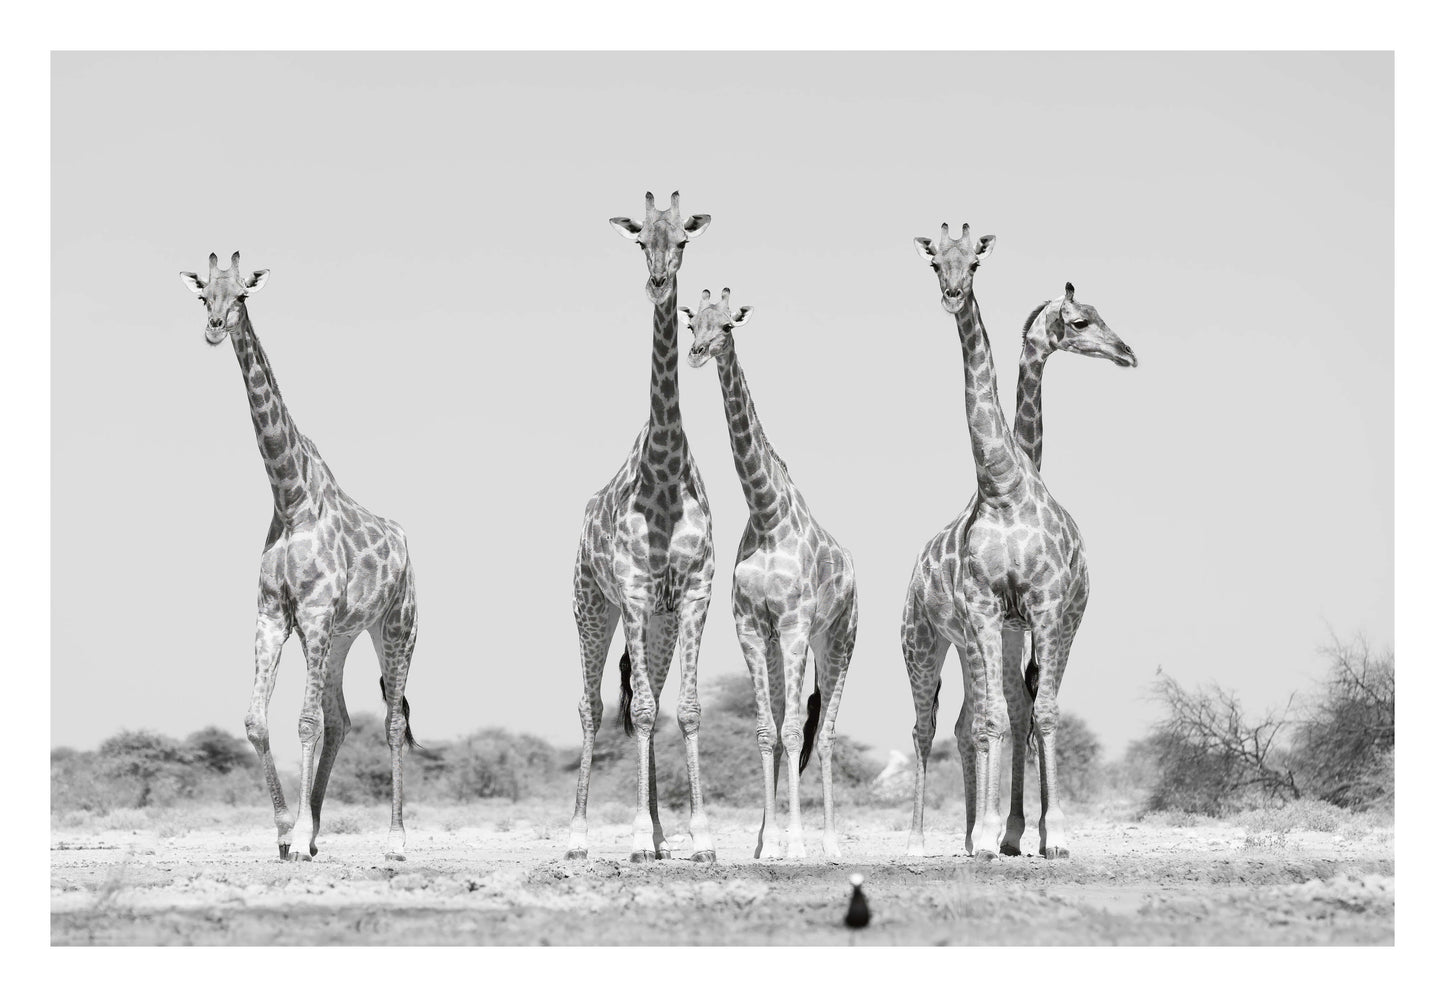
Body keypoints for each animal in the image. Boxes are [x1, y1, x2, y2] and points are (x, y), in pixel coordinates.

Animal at [179, 252, 418, 862]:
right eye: (204, 295)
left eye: (242, 294)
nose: (214, 327)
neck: (291, 499)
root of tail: (405, 544)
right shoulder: (273, 616)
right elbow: (256, 722)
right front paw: (289, 831)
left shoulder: (311, 615)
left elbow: (305, 723)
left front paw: (301, 830)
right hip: (341, 638)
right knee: (342, 720)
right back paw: (314, 833)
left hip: (396, 627)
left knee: (390, 719)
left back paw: (396, 839)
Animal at [681, 288, 859, 861]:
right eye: (692, 322)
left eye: (727, 326)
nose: (696, 353)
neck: (765, 512)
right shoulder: (752, 628)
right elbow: (766, 730)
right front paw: (766, 843)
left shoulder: (796, 625)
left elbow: (795, 732)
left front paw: (797, 844)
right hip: (790, 645)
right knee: (788, 725)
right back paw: (774, 839)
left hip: (838, 640)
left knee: (825, 733)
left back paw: (830, 843)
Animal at [899, 224, 1132, 860]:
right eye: (936, 262)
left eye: (975, 262)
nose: (1126, 352)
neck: (1002, 483)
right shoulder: (986, 610)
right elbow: (997, 720)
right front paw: (992, 834)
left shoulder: (1042, 609)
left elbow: (1038, 714)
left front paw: (1048, 836)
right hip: (924, 639)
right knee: (932, 725)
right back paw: (925, 840)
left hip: (1042, 627)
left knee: (1000, 714)